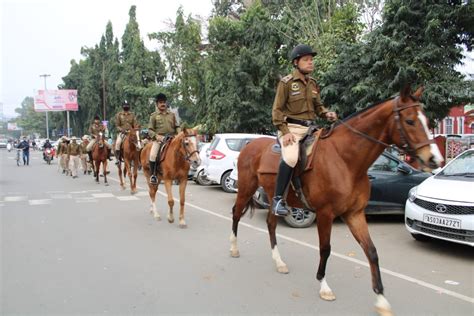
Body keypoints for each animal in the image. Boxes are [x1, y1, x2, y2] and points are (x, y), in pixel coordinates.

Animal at [230, 86, 444, 316]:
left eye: (428, 121)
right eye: (410, 121)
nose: (435, 159)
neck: (345, 159)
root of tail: (250, 144)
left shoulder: (355, 214)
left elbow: (371, 252)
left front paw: (381, 299)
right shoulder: (325, 214)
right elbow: (325, 248)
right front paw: (324, 287)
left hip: (273, 197)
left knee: (271, 223)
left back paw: (279, 262)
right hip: (246, 189)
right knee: (236, 214)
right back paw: (233, 249)